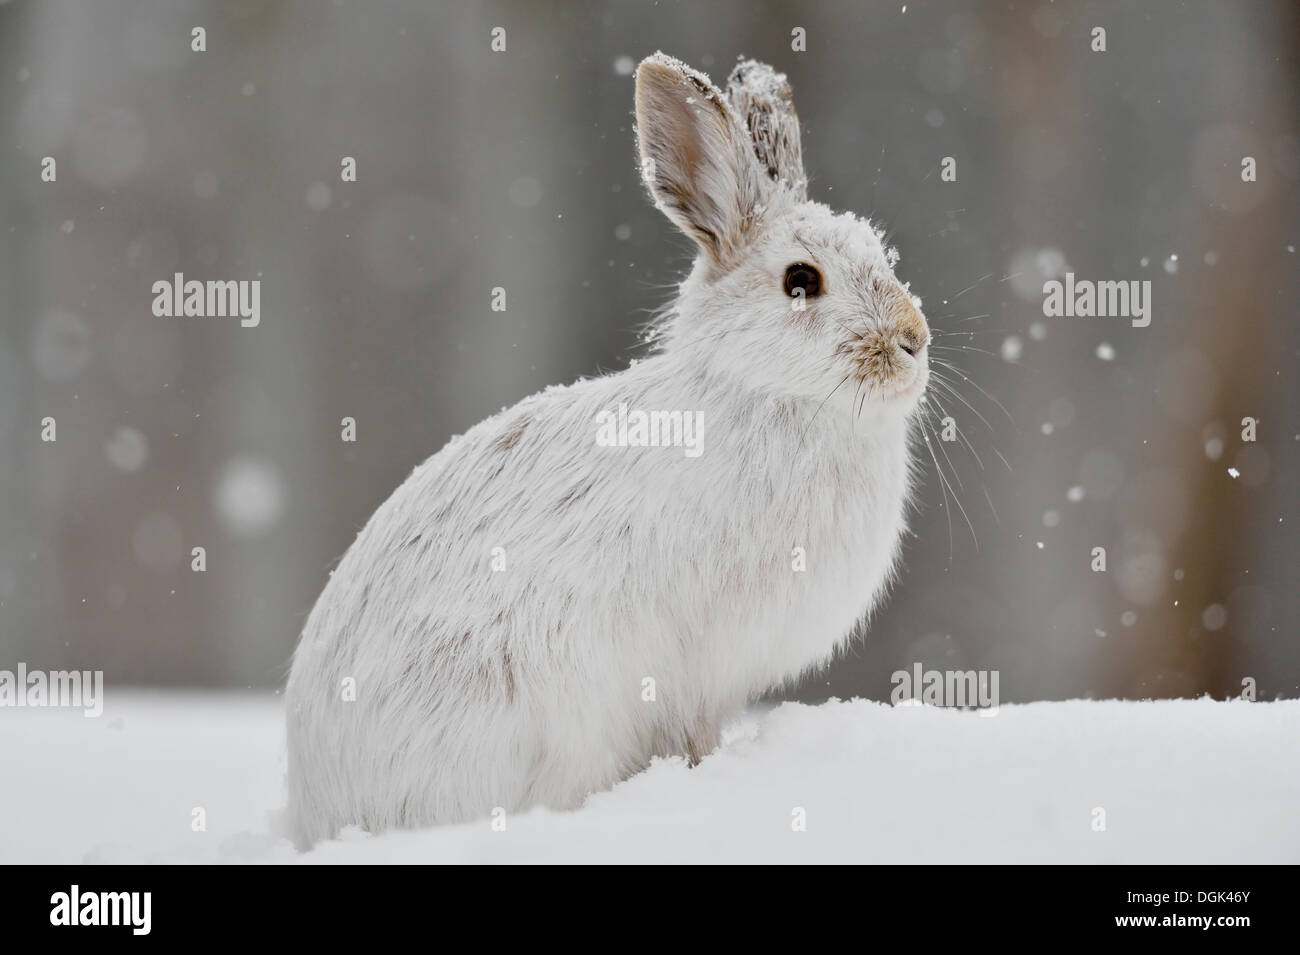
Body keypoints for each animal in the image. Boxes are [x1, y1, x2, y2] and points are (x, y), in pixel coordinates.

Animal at [285, 52, 930, 848]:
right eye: (801, 281)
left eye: (882, 253)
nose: (914, 341)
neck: (764, 391)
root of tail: (325, 810)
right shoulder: (696, 664)